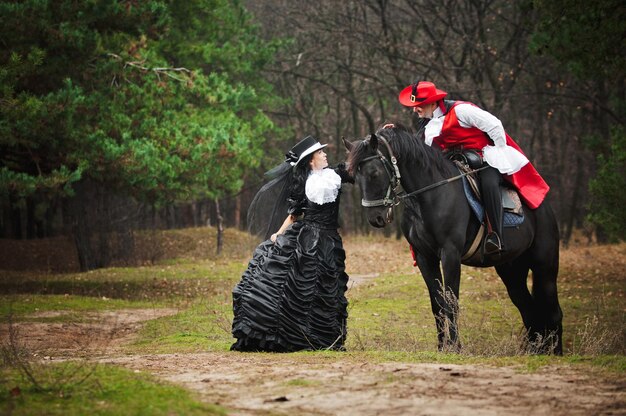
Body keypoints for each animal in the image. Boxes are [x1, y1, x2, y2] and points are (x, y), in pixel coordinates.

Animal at [344, 126, 564, 354]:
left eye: (374, 173)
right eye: (354, 176)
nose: (376, 218)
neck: (429, 196)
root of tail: (543, 207)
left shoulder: (450, 254)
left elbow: (451, 302)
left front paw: (456, 347)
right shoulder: (425, 257)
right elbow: (437, 303)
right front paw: (442, 347)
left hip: (544, 266)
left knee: (553, 309)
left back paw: (555, 352)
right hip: (511, 269)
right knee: (528, 309)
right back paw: (535, 350)